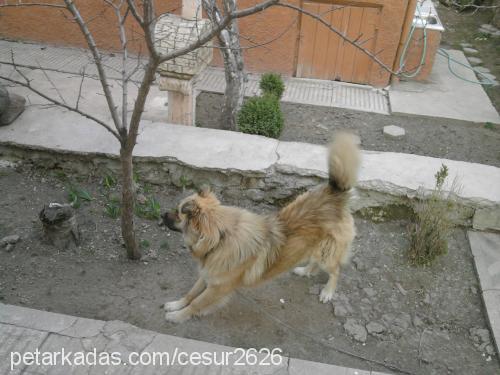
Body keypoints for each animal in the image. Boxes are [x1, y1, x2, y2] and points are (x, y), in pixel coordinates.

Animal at [162, 133, 362, 324]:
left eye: (178, 213)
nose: (162, 215)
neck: (220, 240)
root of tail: (334, 195)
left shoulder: (218, 288)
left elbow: (196, 303)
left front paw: (177, 316)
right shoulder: (207, 274)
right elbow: (191, 293)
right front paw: (175, 305)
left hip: (328, 252)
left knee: (335, 270)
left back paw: (327, 291)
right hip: (316, 247)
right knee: (315, 262)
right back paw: (305, 271)